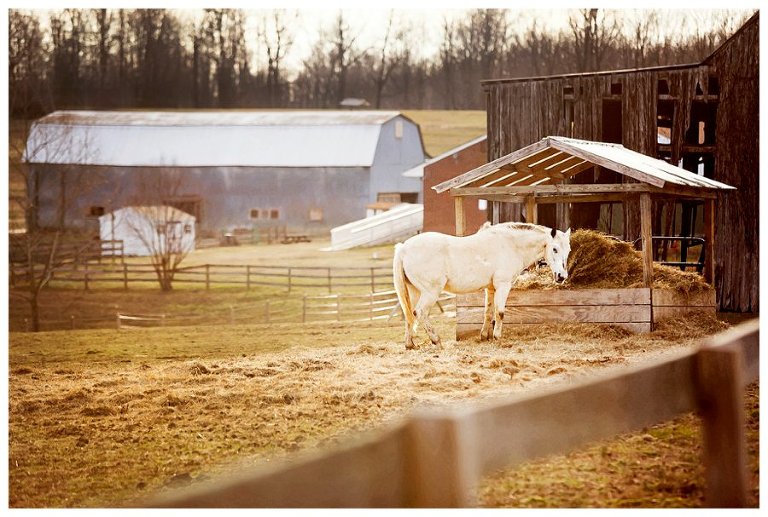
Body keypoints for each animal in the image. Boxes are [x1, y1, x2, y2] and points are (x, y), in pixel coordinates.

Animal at [396, 223, 568, 348]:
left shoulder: (491, 289)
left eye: (568, 249)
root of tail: (404, 248)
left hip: (414, 291)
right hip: (430, 292)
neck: (511, 245)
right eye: (555, 249)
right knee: (420, 312)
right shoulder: (503, 286)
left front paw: (484, 336)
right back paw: (436, 340)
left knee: (409, 314)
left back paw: (410, 344)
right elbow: (500, 313)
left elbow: (488, 312)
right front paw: (498, 337)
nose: (562, 276)